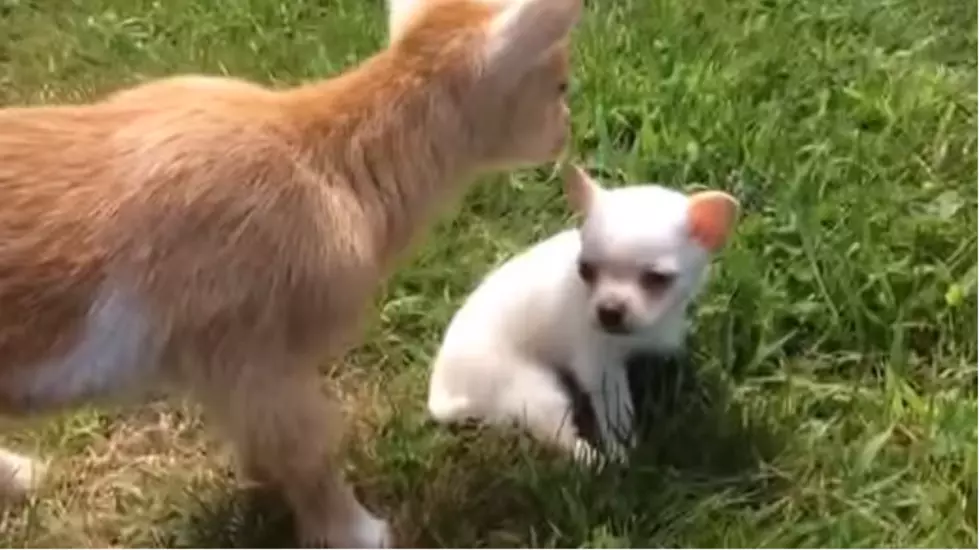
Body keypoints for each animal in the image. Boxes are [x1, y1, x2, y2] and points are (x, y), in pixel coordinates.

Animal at [424, 165, 740, 466]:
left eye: (656, 279)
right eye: (585, 270)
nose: (608, 311)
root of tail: (443, 388)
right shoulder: (600, 367)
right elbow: (617, 412)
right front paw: (624, 452)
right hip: (533, 391)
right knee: (558, 432)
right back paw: (592, 460)